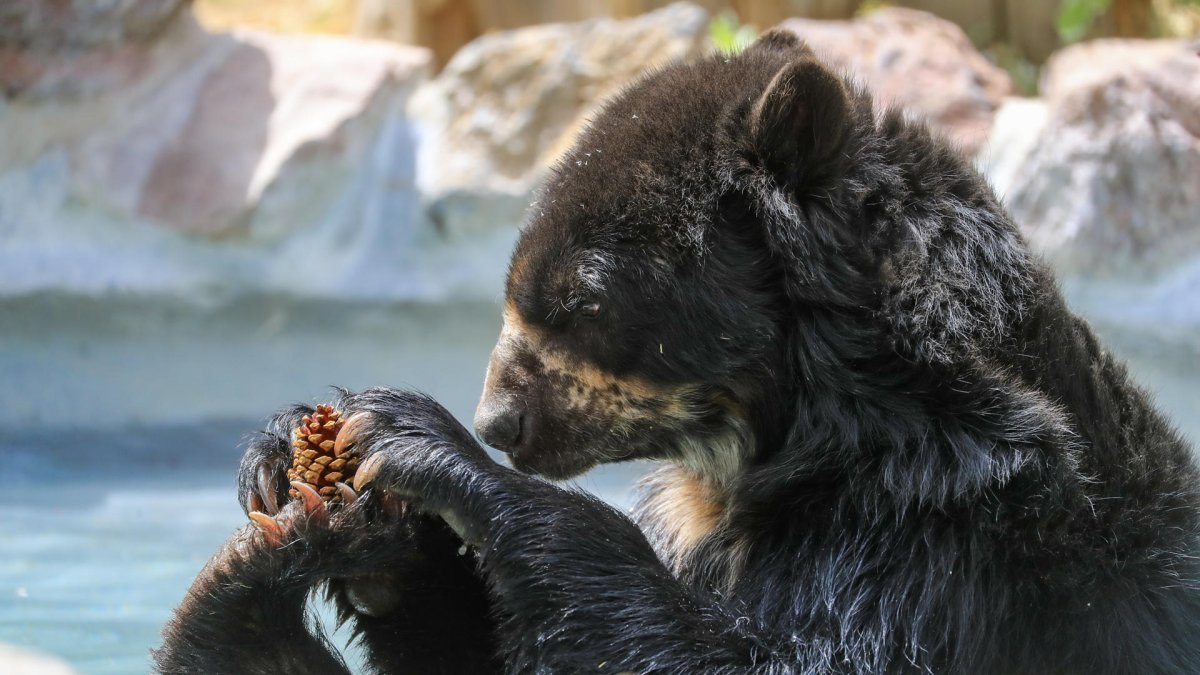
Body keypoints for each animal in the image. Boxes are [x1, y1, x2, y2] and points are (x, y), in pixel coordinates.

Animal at [155, 30, 1200, 674]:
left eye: (581, 299)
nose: (502, 417)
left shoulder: (959, 529)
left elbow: (768, 654)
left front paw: (420, 442)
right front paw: (329, 483)